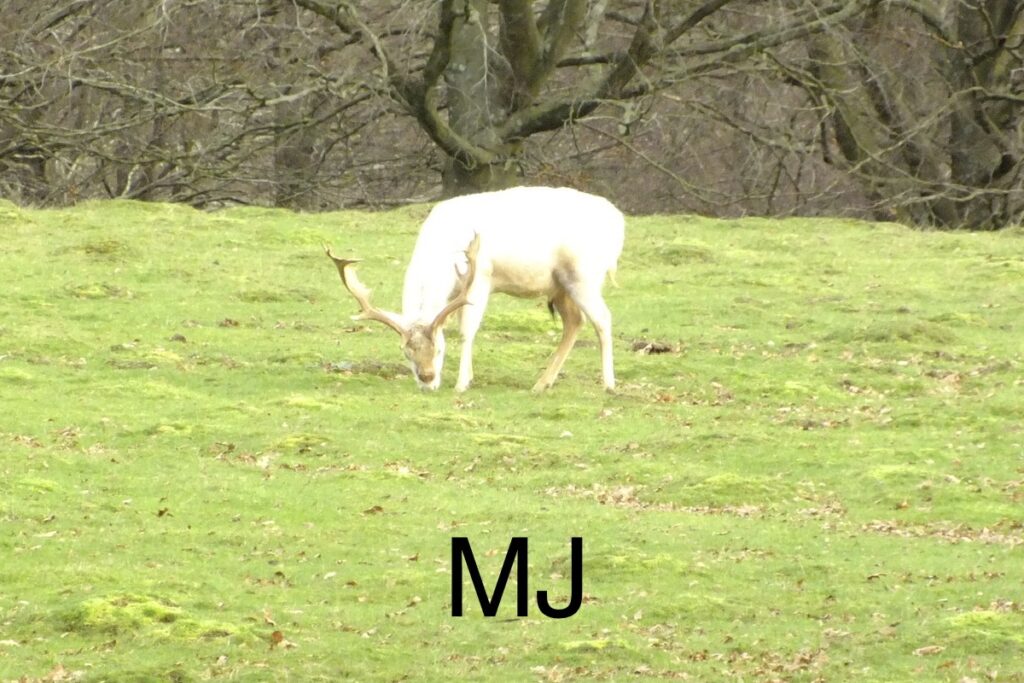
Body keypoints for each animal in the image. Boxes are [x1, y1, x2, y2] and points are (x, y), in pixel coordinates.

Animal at [324, 186, 625, 392]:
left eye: (439, 350)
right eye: (406, 353)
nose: (427, 380)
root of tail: (619, 221)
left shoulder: (480, 278)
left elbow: (466, 330)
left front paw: (461, 384)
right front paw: (467, 377)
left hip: (583, 275)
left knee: (603, 318)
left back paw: (608, 384)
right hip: (560, 286)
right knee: (575, 321)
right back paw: (542, 383)